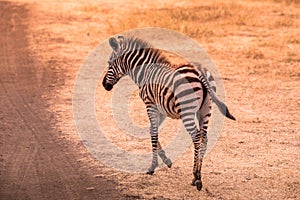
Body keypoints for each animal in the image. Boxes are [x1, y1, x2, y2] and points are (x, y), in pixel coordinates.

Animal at [102, 35, 236, 191]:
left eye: (109, 63)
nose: (104, 85)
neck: (145, 71)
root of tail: (200, 72)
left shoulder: (150, 105)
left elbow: (153, 132)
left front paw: (152, 166)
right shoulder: (162, 110)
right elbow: (151, 130)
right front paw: (166, 160)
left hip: (187, 111)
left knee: (196, 137)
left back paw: (196, 176)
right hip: (206, 110)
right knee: (204, 138)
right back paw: (197, 175)